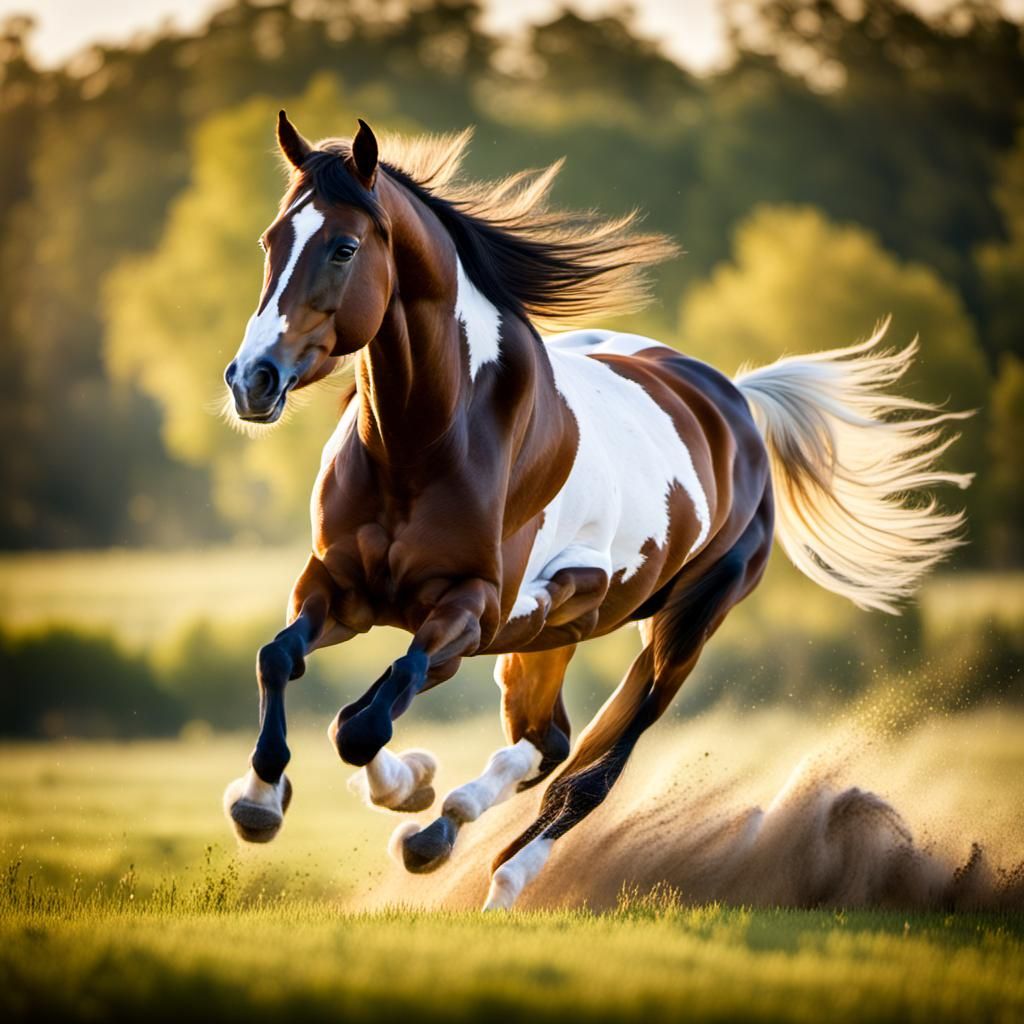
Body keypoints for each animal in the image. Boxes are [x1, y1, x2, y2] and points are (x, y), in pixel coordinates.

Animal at [221, 112, 971, 910]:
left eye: (344, 246)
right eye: (271, 240)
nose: (252, 380)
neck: (423, 444)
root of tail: (735, 399)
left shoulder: (469, 611)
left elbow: (367, 717)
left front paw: (404, 785)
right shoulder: (338, 587)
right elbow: (283, 660)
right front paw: (261, 802)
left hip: (681, 629)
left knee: (588, 774)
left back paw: (498, 870)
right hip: (551, 636)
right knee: (548, 743)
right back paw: (443, 830)